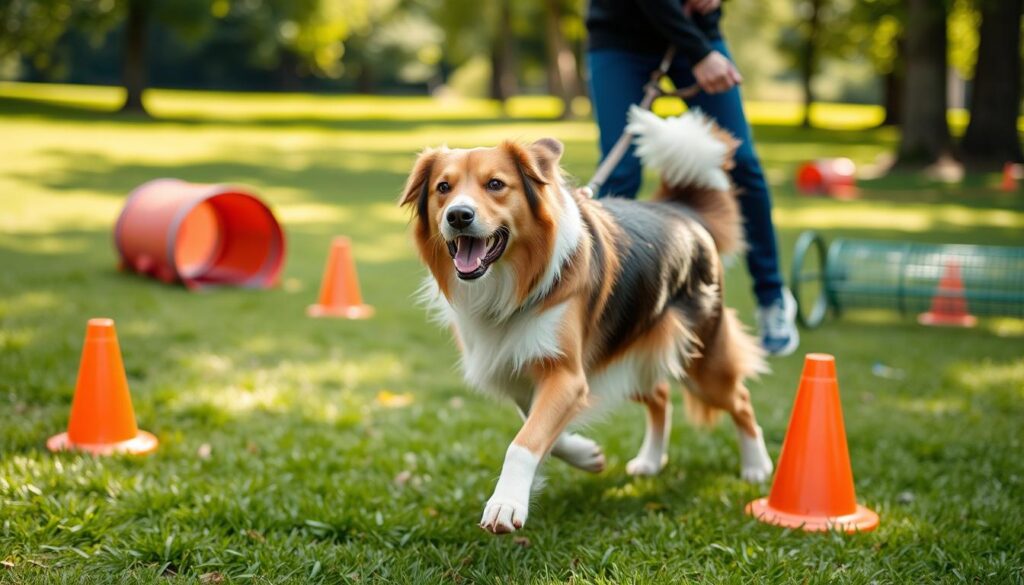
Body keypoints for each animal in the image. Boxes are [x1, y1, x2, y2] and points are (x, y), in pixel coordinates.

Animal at [397, 106, 770, 536]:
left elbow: (524, 440)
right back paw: (651, 461)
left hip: (702, 360)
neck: (512, 285)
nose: (459, 215)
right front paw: (586, 454)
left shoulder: (566, 372)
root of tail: (682, 211)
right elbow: (537, 426)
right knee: (660, 396)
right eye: (443, 187)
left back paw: (757, 467)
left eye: (495, 184)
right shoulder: (519, 367)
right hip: (629, 352)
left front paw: (506, 503)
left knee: (740, 400)